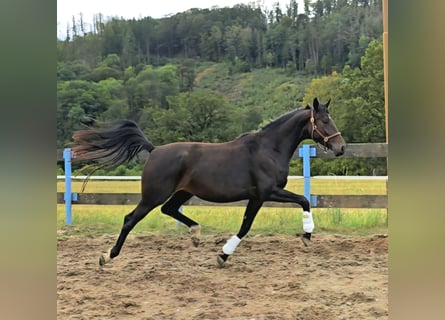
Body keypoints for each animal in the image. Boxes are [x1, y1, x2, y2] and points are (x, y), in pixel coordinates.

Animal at [71, 98, 346, 268]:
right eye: (324, 121)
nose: (341, 147)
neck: (268, 148)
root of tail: (154, 150)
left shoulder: (257, 196)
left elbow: (248, 225)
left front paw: (223, 255)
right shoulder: (267, 192)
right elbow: (301, 201)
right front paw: (306, 236)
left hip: (182, 193)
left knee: (169, 209)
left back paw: (195, 234)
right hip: (153, 195)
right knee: (130, 219)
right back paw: (107, 256)